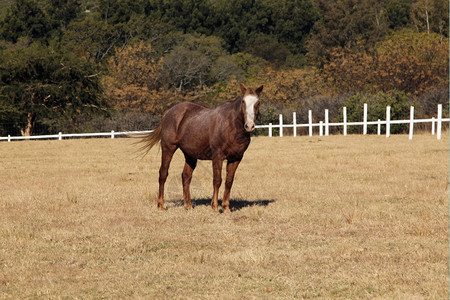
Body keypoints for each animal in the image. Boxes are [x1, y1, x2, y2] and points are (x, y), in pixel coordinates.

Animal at [142, 83, 264, 212]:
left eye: (258, 103)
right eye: (243, 102)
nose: (249, 125)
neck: (231, 126)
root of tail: (168, 113)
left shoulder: (236, 158)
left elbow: (229, 182)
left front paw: (226, 208)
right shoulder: (217, 156)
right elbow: (217, 180)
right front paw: (215, 207)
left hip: (190, 155)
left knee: (186, 176)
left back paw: (188, 205)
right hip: (168, 148)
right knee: (163, 174)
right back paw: (161, 205)